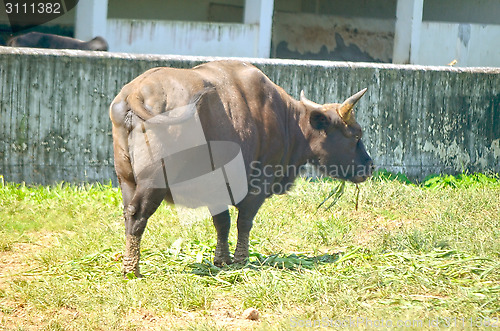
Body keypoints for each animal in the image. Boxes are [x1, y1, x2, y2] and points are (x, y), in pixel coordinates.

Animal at [111, 60, 374, 278]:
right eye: (356, 135)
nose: (370, 166)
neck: (287, 121)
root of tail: (134, 93)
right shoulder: (257, 185)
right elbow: (244, 221)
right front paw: (240, 259)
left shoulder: (216, 188)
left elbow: (222, 222)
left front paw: (222, 259)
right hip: (153, 180)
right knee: (137, 214)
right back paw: (132, 269)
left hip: (126, 179)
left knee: (128, 213)